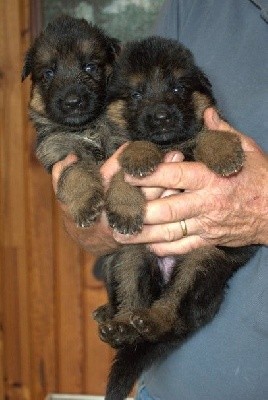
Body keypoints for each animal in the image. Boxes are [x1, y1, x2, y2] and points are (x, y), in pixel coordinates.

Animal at [21, 14, 120, 228]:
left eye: (90, 67)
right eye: (48, 73)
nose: (72, 102)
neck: (86, 128)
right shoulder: (57, 153)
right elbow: (74, 172)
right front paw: (84, 204)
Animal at [92, 37, 258, 400]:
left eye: (179, 88)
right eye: (136, 94)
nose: (162, 117)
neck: (169, 144)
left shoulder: (202, 130)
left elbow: (206, 134)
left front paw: (225, 152)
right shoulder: (116, 150)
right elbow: (127, 159)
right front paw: (139, 159)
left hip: (201, 260)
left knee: (170, 310)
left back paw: (151, 320)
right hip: (132, 254)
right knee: (131, 298)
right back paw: (121, 323)